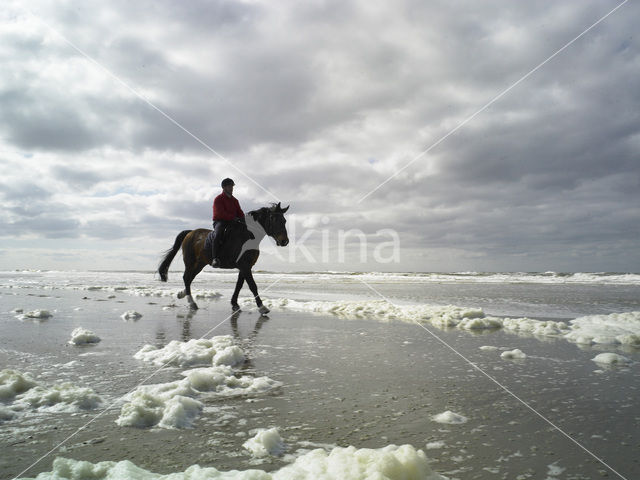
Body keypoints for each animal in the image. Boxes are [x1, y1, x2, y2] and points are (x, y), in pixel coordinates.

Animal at [158, 202, 290, 312]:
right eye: (273, 219)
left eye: (284, 221)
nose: (284, 241)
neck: (248, 236)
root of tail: (190, 232)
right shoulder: (245, 266)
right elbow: (252, 286)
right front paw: (262, 307)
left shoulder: (245, 266)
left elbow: (239, 285)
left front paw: (234, 304)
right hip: (190, 262)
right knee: (186, 278)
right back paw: (192, 303)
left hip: (200, 264)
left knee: (189, 279)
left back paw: (182, 294)